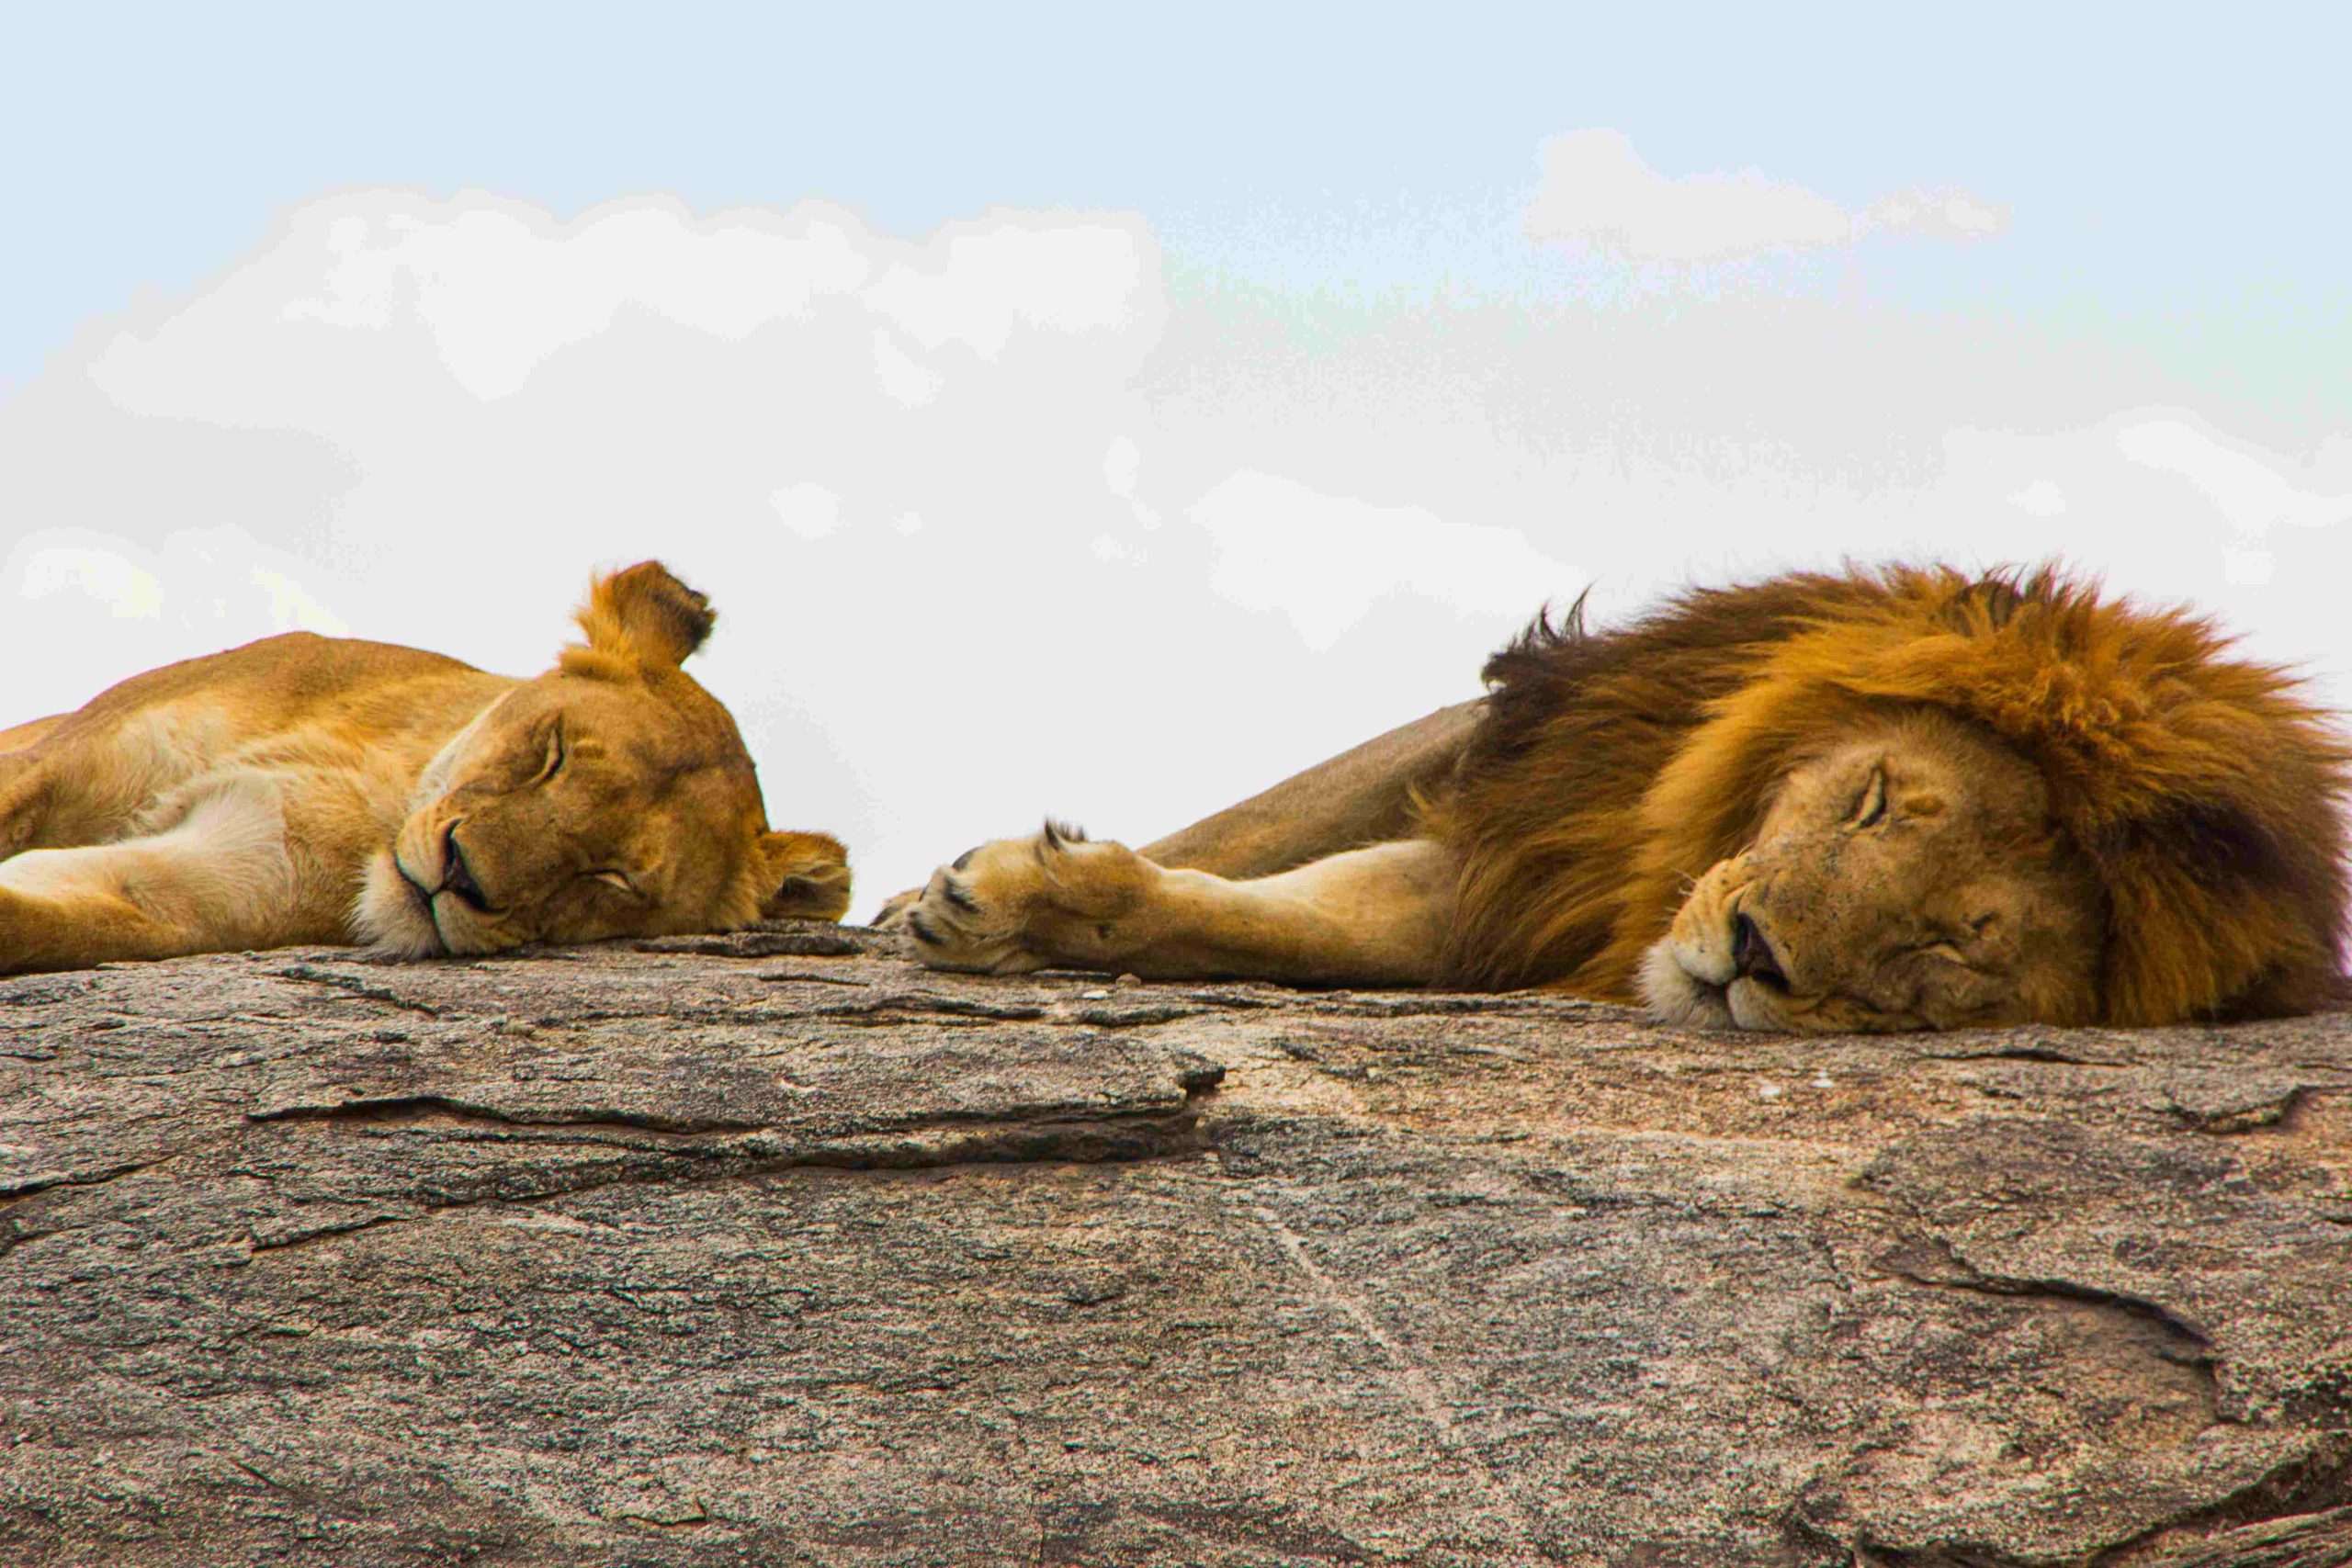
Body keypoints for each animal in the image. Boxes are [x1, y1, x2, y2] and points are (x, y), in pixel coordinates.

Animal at [0, 561, 851, 975]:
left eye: (612, 879)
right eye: (553, 751)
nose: (459, 873)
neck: (381, 788)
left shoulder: (186, 894)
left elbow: (44, 921)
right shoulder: (55, 764)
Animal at [895, 565, 2348, 1032]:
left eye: (1953, 946)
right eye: (1876, 801)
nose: (1751, 950)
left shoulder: (1499, 904)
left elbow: (1291, 925)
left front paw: (1028, 903)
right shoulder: (1527, 802)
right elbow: (1247, 856)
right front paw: (991, 901)